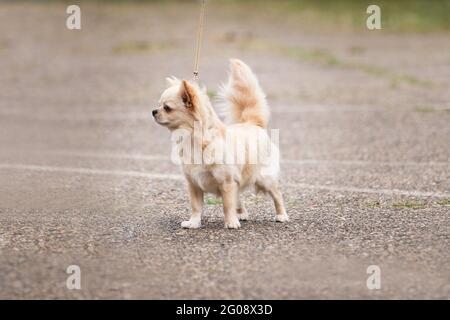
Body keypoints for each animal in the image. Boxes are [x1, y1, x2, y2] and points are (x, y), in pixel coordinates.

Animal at [153, 58, 288, 229]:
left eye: (167, 108)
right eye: (159, 104)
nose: (153, 111)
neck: (195, 140)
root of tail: (252, 123)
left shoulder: (227, 182)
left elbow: (227, 205)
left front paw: (230, 223)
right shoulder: (194, 184)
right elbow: (196, 207)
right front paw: (193, 223)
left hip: (265, 179)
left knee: (277, 194)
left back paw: (281, 215)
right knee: (239, 197)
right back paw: (241, 214)